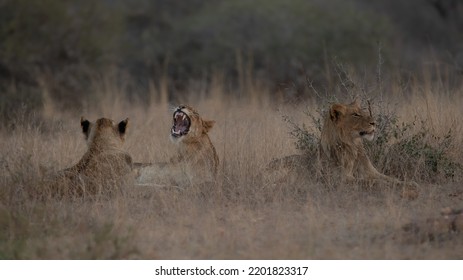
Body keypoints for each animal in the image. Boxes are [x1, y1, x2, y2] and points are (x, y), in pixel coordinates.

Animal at [270, 100, 418, 199]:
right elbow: (370, 181)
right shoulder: (341, 179)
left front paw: (409, 183)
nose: (374, 123)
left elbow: (391, 179)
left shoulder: (372, 172)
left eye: (364, 112)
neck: (353, 145)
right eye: (356, 115)